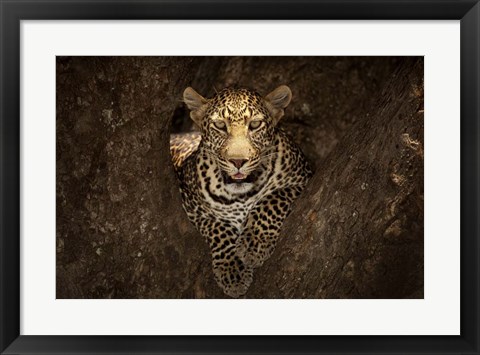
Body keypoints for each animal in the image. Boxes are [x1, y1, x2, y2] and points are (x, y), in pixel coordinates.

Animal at [171, 85, 314, 298]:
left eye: (254, 124)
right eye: (220, 125)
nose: (238, 161)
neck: (241, 196)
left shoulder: (302, 179)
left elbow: (271, 200)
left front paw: (254, 244)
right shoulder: (192, 205)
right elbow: (218, 228)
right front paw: (233, 271)